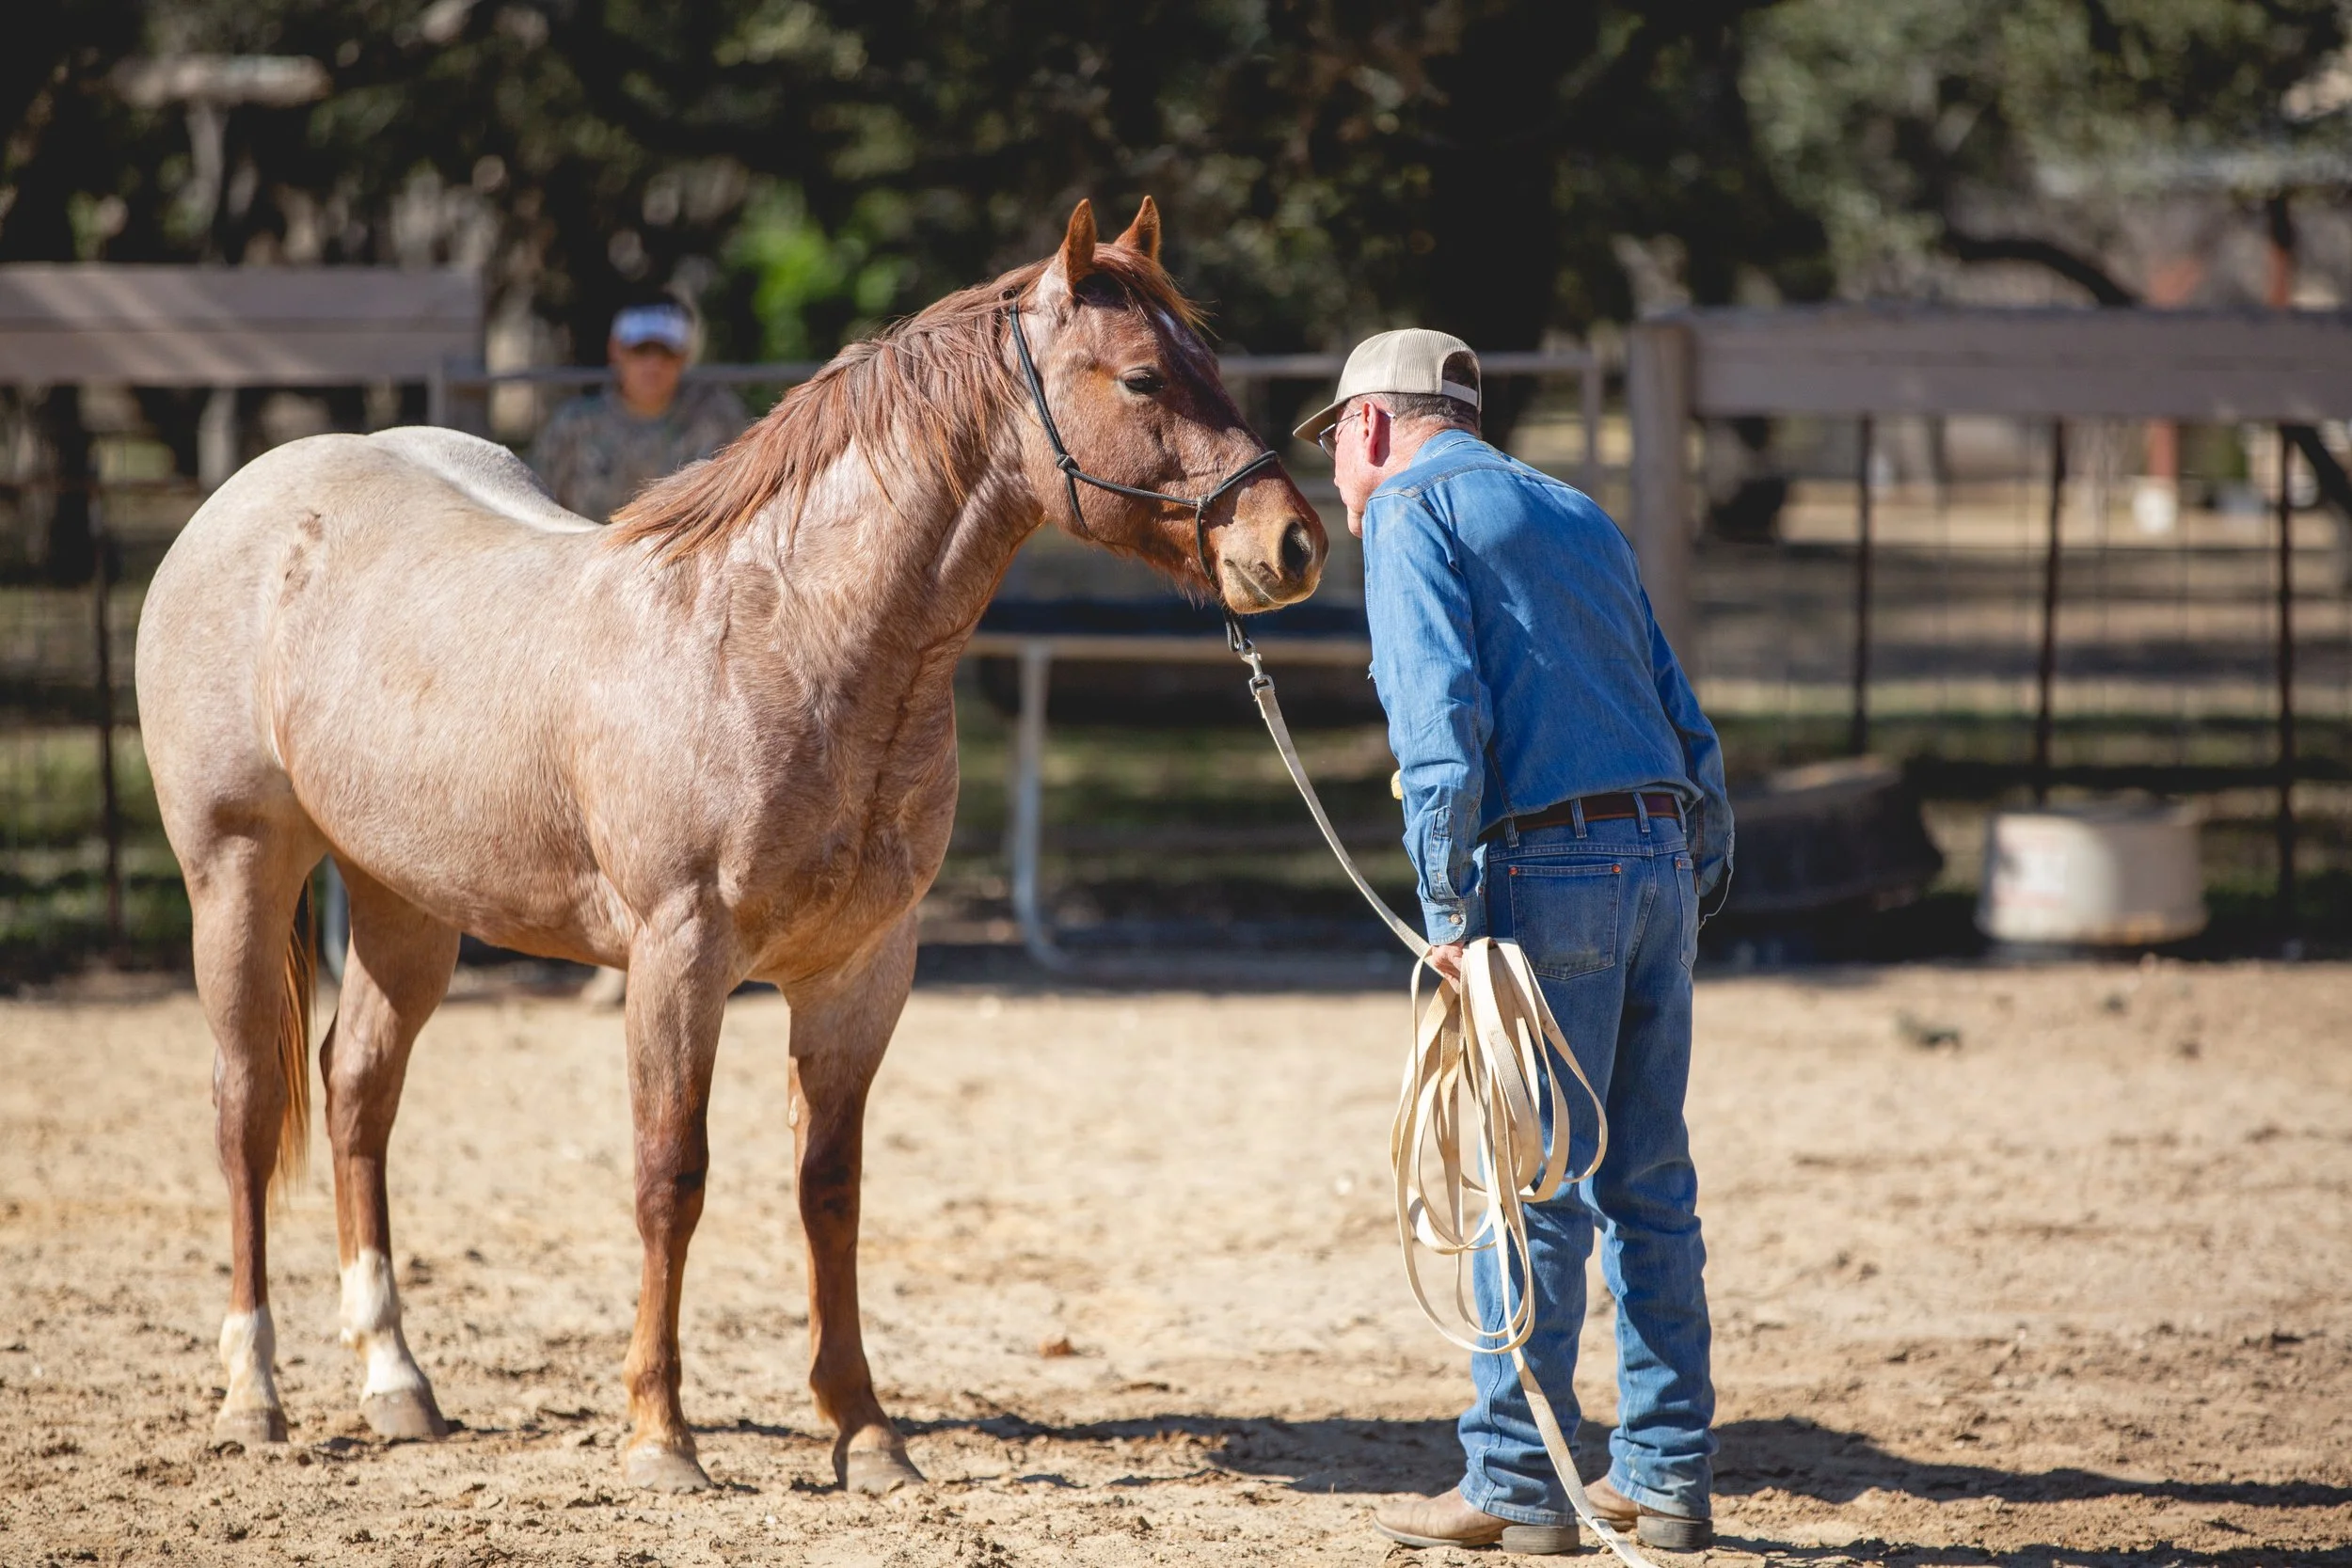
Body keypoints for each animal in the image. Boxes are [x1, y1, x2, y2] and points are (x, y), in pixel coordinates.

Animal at [134, 198, 1325, 1494]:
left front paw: (866, 1432)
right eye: (1145, 375)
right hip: (239, 873)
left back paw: (398, 1382)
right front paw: (661, 1433)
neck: (785, 633)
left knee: (357, 1093)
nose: (1293, 542)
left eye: (1214, 364)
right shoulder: (679, 958)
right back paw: (253, 1392)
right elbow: (672, 1176)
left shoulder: (863, 971)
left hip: (405, 900)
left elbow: (830, 1188)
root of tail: (248, 500)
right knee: (247, 1106)